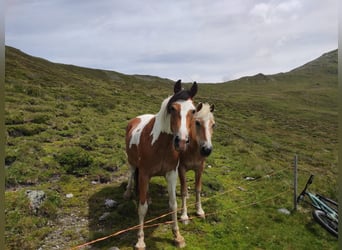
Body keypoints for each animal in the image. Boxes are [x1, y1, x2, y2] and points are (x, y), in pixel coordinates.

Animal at [125, 81, 198, 249]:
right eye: (172, 108)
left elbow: (173, 204)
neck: (160, 144)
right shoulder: (144, 173)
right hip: (132, 163)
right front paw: (140, 240)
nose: (181, 141)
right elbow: (142, 207)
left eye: (193, 110)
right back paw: (128, 192)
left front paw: (177, 236)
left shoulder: (171, 174)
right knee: (131, 174)